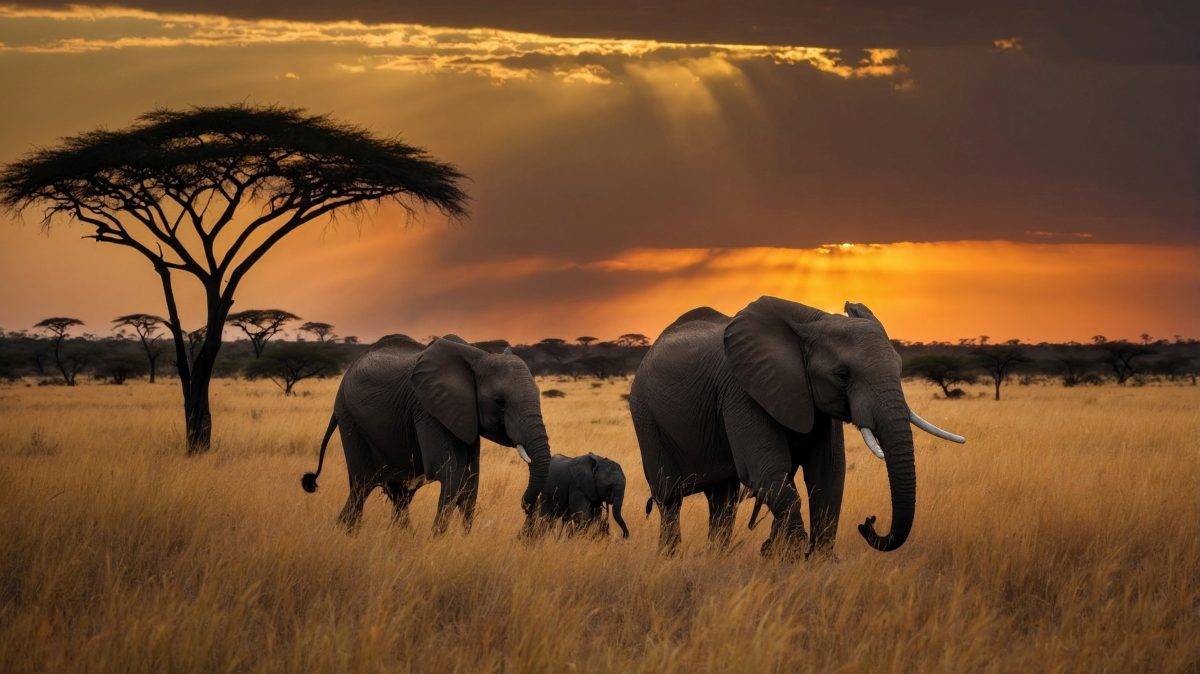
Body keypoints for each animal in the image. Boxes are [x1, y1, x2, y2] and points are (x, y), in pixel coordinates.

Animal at [300, 334, 552, 533]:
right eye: (500, 401)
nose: (526, 506)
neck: (479, 357)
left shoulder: (465, 416)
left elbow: (471, 478)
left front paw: (464, 539)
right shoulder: (427, 409)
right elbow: (451, 472)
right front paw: (438, 539)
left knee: (398, 495)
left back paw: (401, 538)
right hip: (351, 420)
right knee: (362, 486)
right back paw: (346, 534)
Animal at [628, 297, 964, 557]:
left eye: (900, 367)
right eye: (843, 375)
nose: (868, 522)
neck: (813, 323)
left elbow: (829, 473)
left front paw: (818, 563)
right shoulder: (740, 391)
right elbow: (767, 473)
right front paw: (789, 558)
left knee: (722, 500)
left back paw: (716, 558)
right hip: (646, 416)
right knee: (670, 499)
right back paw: (671, 559)